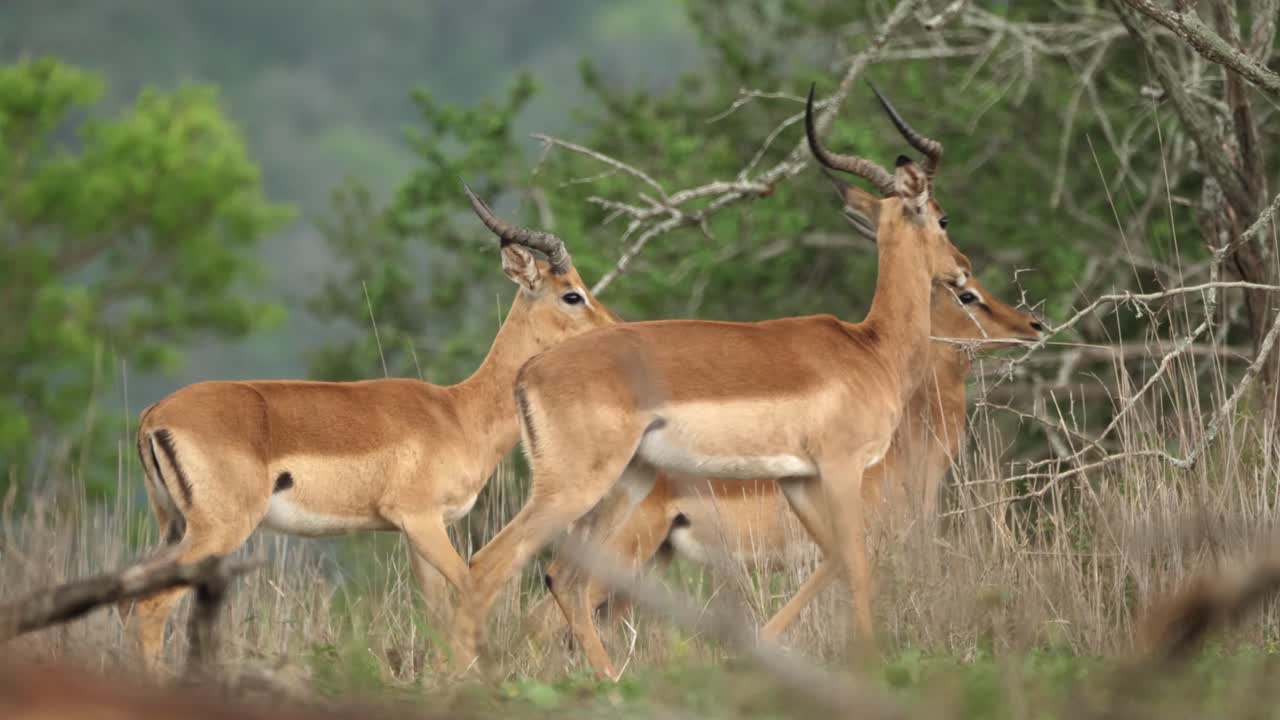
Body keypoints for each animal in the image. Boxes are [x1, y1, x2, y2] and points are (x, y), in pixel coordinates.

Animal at [119, 188, 618, 670]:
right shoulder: (419, 519)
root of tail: (154, 414)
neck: (458, 413)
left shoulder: (419, 531)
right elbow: (468, 591)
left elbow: (439, 613)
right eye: (572, 294)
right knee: (149, 607)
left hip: (174, 527)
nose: (615, 330)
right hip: (217, 531)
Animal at [448, 84, 974, 679]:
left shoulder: (798, 477)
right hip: (577, 487)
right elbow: (858, 562)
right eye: (942, 217)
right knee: (493, 562)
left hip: (623, 486)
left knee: (564, 577)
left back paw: (610, 679)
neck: (871, 346)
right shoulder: (841, 467)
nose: (962, 270)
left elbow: (837, 558)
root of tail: (528, 372)